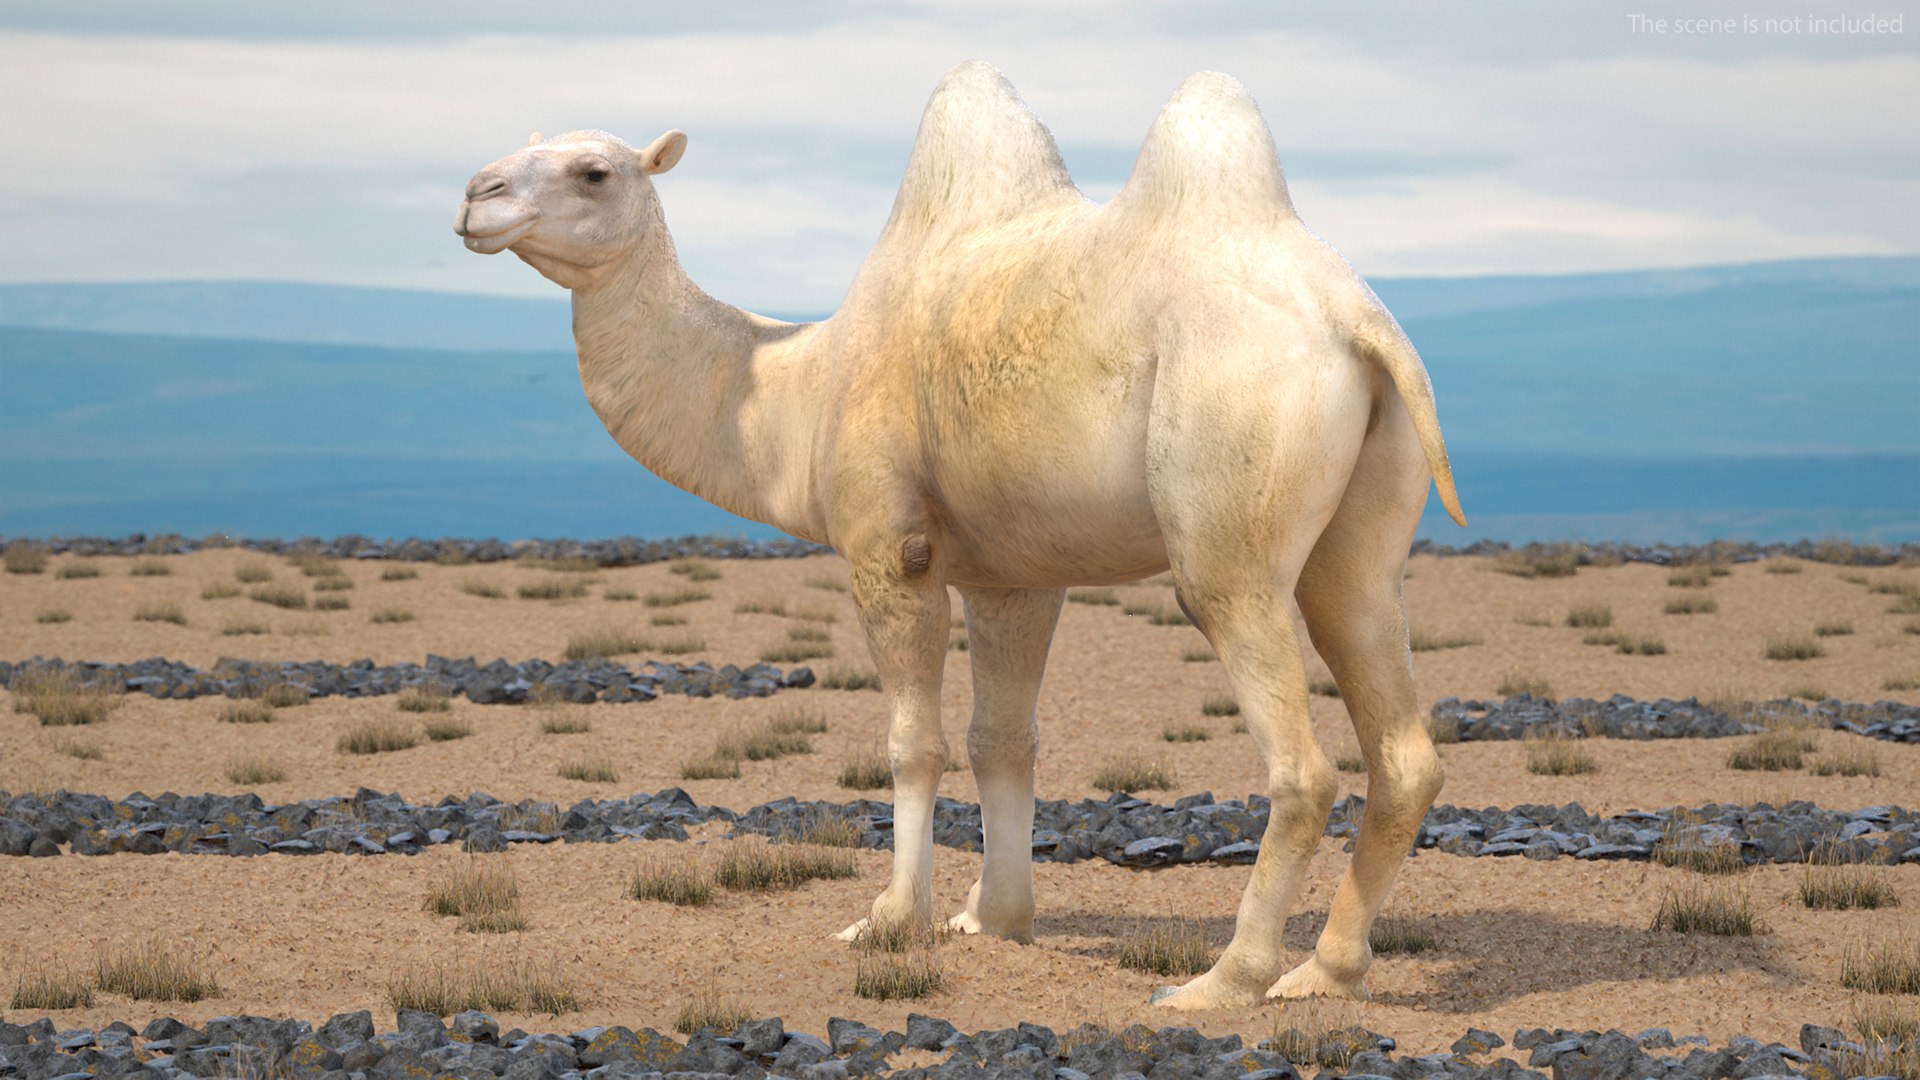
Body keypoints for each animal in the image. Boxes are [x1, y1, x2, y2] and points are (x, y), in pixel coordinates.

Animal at [454, 60, 1465, 1006]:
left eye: (594, 172)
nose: (474, 194)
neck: (799, 388)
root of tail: (1359, 324)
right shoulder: (1014, 573)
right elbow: (1001, 738)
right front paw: (995, 917)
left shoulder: (886, 548)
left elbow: (914, 743)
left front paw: (891, 918)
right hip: (1362, 536)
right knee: (1399, 733)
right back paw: (1326, 972)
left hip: (1229, 516)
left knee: (1298, 759)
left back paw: (1224, 983)